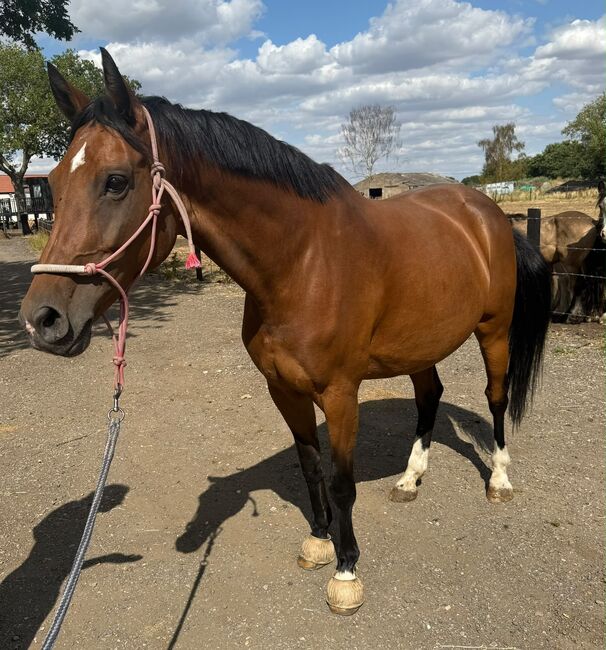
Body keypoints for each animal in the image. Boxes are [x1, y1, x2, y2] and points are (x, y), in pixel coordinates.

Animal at [19, 49, 551, 616]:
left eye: (116, 181)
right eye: (53, 183)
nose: (42, 320)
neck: (303, 261)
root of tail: (487, 213)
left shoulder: (339, 394)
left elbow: (342, 483)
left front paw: (346, 571)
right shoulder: (283, 389)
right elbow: (310, 467)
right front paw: (319, 542)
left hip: (494, 332)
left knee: (496, 398)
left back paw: (499, 479)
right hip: (420, 345)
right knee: (430, 397)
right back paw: (410, 480)